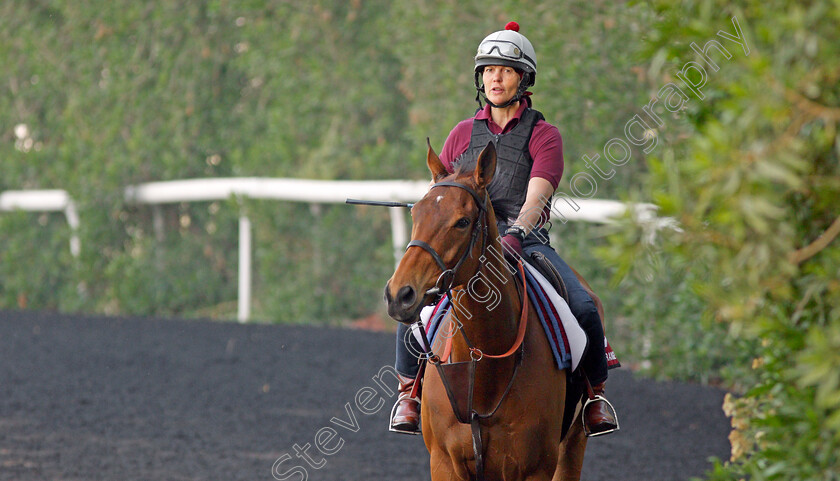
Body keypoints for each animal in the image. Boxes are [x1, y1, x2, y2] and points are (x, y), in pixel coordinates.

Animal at [382, 141, 588, 478]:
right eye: (416, 213)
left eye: (462, 222)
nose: (400, 294)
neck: (483, 370)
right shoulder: (444, 462)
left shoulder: (536, 468)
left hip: (572, 446)